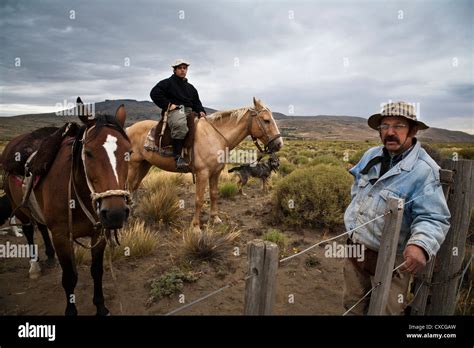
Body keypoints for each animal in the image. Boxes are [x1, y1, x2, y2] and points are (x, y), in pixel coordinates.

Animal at [2, 98, 131, 316]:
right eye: (88, 153)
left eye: (129, 153)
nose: (115, 214)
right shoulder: (62, 236)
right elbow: (70, 277)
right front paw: (71, 310)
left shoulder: (98, 233)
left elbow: (97, 271)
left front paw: (101, 306)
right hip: (20, 208)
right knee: (28, 230)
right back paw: (34, 266)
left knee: (41, 226)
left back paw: (50, 257)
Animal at [124, 97, 284, 231]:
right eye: (266, 120)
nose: (279, 144)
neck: (215, 137)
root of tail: (128, 128)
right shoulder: (202, 173)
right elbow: (199, 200)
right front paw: (196, 226)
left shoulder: (215, 173)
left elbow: (213, 194)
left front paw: (215, 218)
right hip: (133, 165)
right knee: (129, 187)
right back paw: (129, 215)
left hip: (144, 164)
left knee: (135, 186)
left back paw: (134, 211)